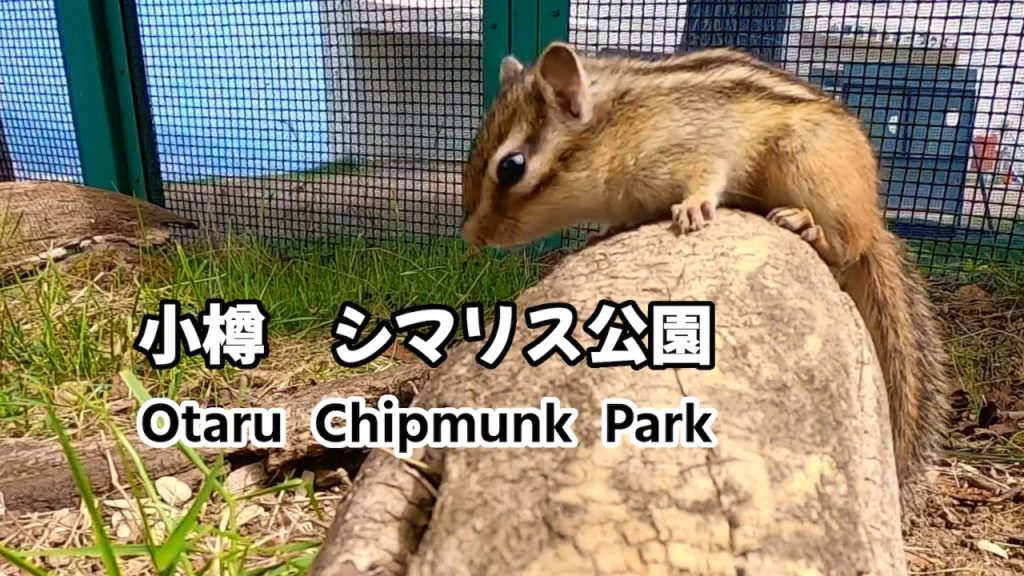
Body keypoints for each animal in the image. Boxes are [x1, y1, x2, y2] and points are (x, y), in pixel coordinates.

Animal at [460, 41, 951, 493]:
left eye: (511, 167)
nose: (471, 234)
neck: (614, 127)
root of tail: (872, 215)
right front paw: (601, 233)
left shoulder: (696, 149)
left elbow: (706, 178)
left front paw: (693, 207)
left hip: (808, 163)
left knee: (847, 247)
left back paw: (806, 225)